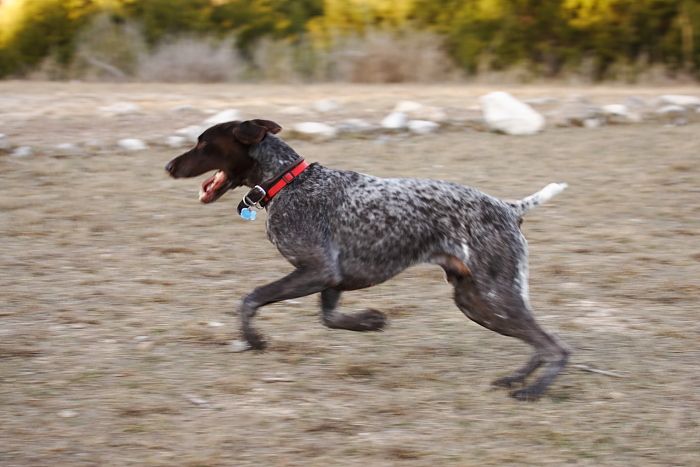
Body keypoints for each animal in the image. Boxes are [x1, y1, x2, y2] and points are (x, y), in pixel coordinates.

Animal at [167, 119, 572, 400]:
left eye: (204, 144)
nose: (169, 166)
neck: (287, 181)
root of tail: (509, 207)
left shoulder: (318, 271)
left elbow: (250, 299)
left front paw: (253, 340)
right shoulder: (332, 279)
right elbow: (330, 319)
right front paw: (370, 321)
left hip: (493, 296)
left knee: (555, 348)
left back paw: (532, 390)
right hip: (475, 301)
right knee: (540, 344)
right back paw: (517, 378)